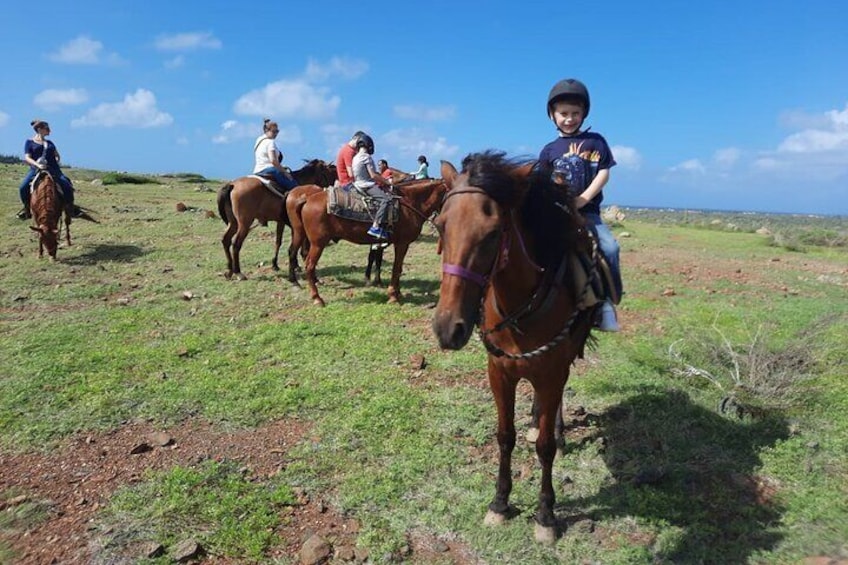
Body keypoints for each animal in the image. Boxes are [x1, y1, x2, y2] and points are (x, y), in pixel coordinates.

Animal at [288, 170, 450, 306]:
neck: (409, 202)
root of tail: (308, 199)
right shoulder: (402, 243)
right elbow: (396, 267)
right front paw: (393, 296)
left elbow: (397, 267)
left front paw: (397, 293)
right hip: (318, 243)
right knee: (309, 266)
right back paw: (317, 298)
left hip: (302, 235)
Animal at [434, 152, 600, 544]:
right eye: (440, 227)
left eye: (494, 233)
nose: (448, 329)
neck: (521, 310)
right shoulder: (500, 374)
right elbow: (504, 437)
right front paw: (499, 503)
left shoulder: (553, 373)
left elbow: (545, 448)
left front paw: (546, 515)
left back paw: (556, 430)